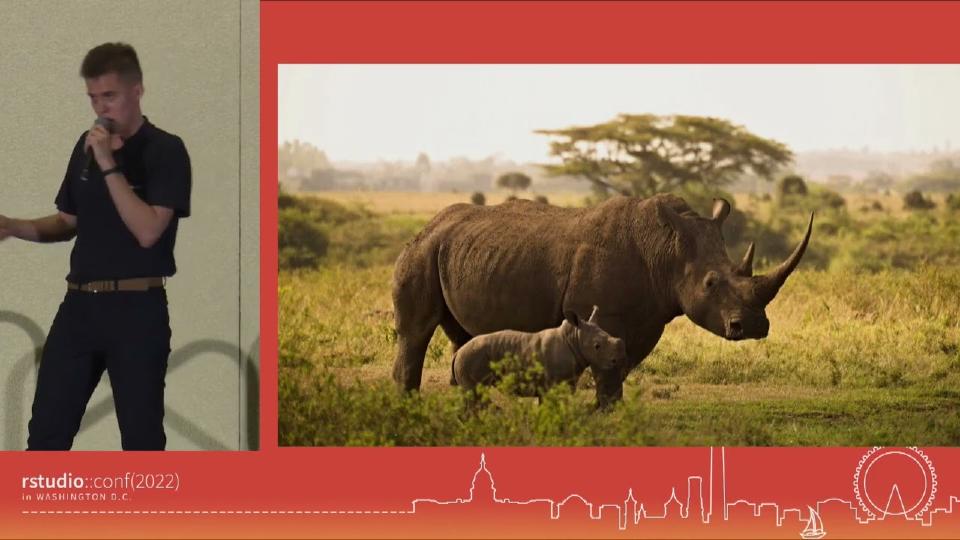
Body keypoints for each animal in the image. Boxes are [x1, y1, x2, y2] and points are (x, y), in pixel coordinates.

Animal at [452, 305, 627, 399]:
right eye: (597, 346)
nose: (618, 360)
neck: (574, 338)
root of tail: (457, 354)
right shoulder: (551, 385)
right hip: (470, 358)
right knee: (475, 395)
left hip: (468, 358)